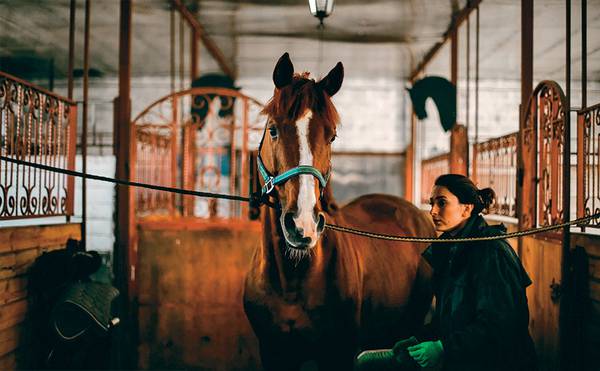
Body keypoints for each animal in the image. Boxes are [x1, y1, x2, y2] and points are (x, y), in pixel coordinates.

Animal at [244, 53, 436, 371]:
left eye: (332, 136)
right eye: (273, 129)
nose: (303, 225)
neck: (292, 282)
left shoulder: (339, 353)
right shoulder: (272, 352)